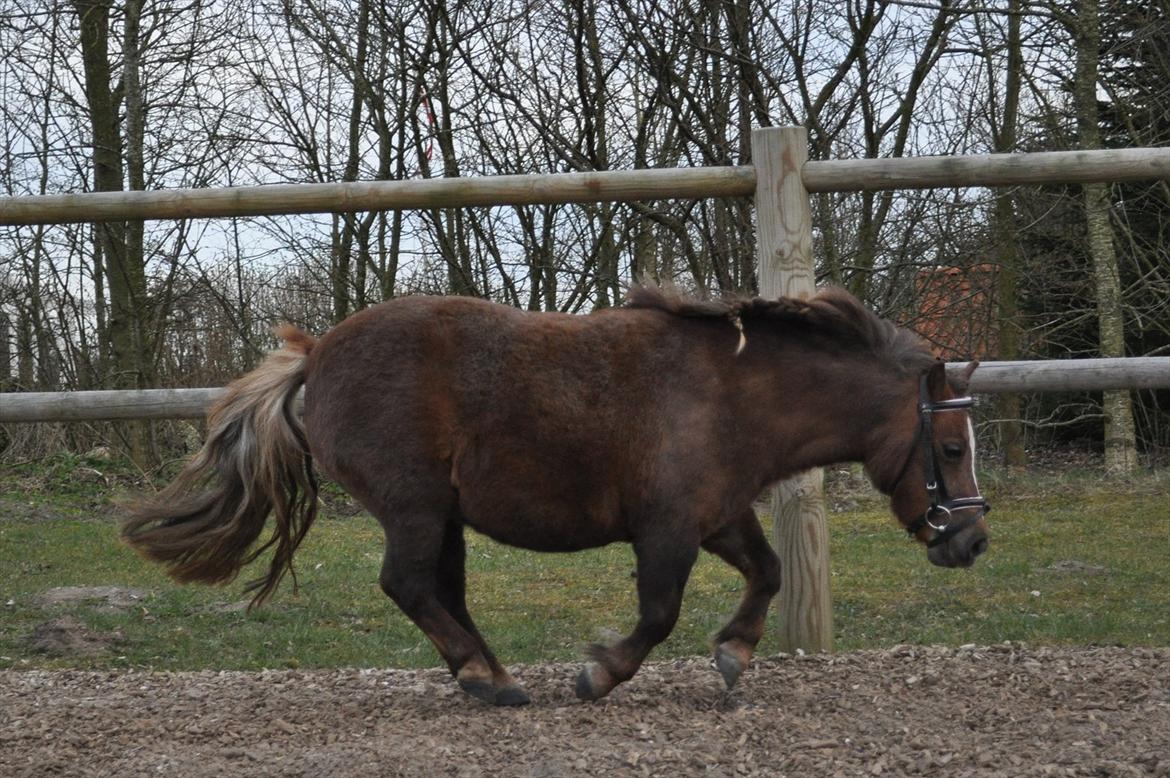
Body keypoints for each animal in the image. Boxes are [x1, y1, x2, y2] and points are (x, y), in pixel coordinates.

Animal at [125, 285, 987, 701]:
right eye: (950, 447)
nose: (972, 540)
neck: (729, 393)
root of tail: (316, 353)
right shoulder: (666, 529)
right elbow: (657, 614)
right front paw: (600, 674)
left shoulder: (717, 515)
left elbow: (769, 572)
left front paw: (734, 655)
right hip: (413, 507)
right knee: (408, 584)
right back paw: (485, 681)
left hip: (443, 516)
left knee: (440, 592)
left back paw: (492, 674)